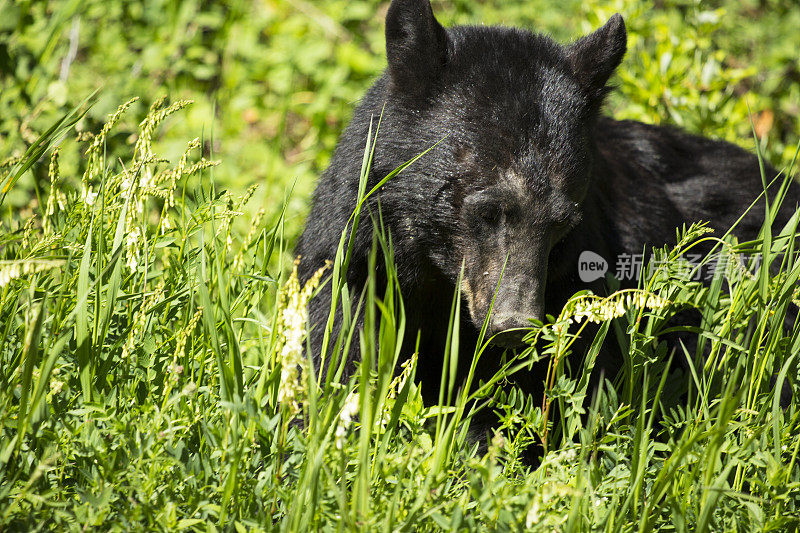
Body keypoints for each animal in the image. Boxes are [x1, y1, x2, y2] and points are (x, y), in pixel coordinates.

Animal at [296, 0, 800, 400]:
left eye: (561, 222)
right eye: (487, 210)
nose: (514, 324)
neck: (438, 282)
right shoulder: (353, 269)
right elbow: (334, 357)